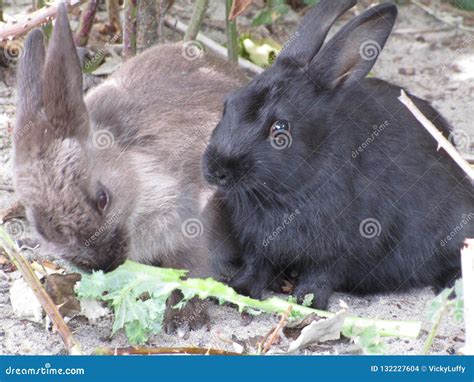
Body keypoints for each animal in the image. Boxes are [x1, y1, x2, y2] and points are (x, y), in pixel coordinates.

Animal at [203, 0, 474, 308]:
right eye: (228, 105)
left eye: (280, 129)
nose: (215, 168)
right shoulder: (258, 246)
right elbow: (256, 266)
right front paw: (238, 291)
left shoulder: (339, 252)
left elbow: (320, 276)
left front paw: (306, 302)